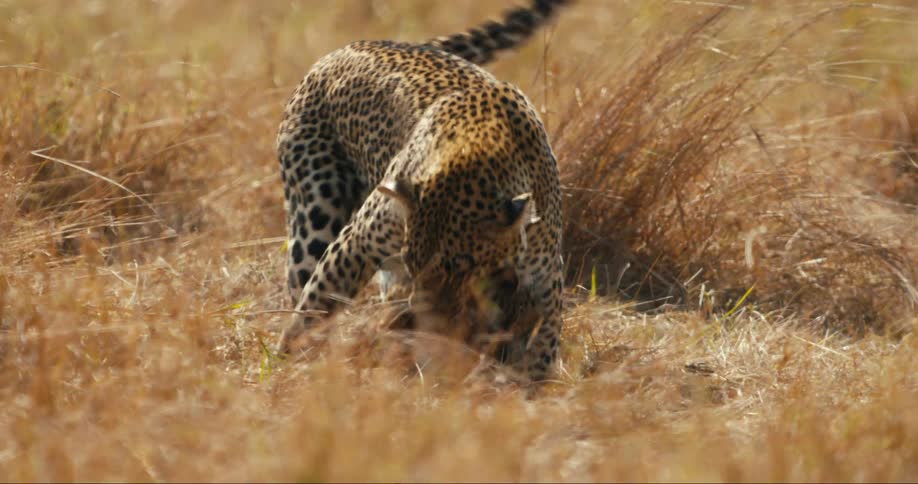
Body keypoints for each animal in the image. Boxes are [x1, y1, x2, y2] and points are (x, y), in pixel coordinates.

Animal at [275, 0, 568, 382]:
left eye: (464, 268)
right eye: (414, 263)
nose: (417, 314)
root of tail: (355, 45)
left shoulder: (547, 279)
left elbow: (543, 344)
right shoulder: (357, 241)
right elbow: (314, 305)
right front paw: (287, 367)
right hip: (315, 218)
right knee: (301, 282)